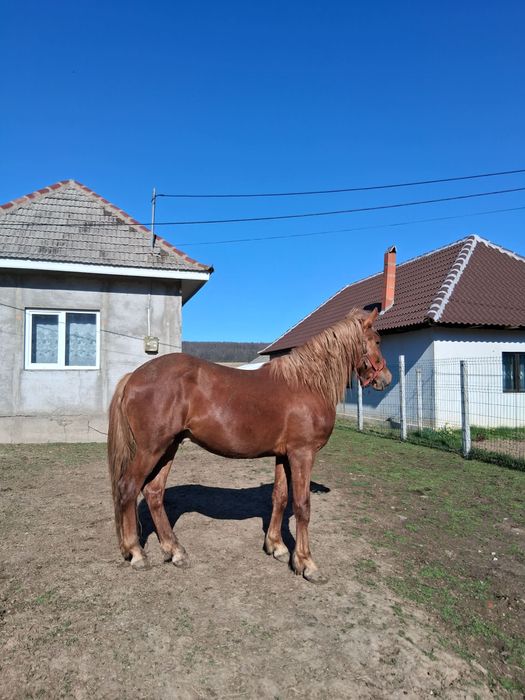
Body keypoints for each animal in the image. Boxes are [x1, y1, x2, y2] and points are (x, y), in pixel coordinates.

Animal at [107, 307, 391, 583]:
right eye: (377, 340)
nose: (386, 378)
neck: (307, 382)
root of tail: (133, 376)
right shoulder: (302, 453)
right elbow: (302, 505)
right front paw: (306, 563)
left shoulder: (283, 455)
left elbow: (280, 497)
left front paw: (276, 547)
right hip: (151, 449)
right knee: (128, 488)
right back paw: (137, 553)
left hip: (169, 447)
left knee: (154, 492)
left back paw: (174, 550)